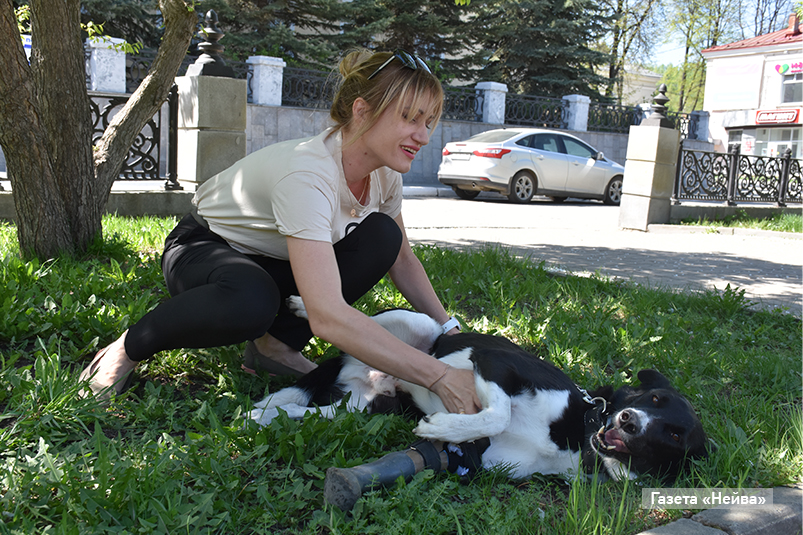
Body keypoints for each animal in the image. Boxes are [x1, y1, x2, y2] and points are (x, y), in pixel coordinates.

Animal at [251, 304, 708, 484]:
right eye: (652, 400)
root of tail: (362, 370)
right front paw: (443, 425)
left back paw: (259, 417)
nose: (628, 422)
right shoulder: (495, 362)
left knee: (310, 413)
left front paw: (444, 430)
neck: (578, 433)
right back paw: (301, 305)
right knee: (354, 318)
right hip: (413, 323)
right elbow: (499, 411)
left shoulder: (487, 461)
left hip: (362, 409)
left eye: (674, 436)